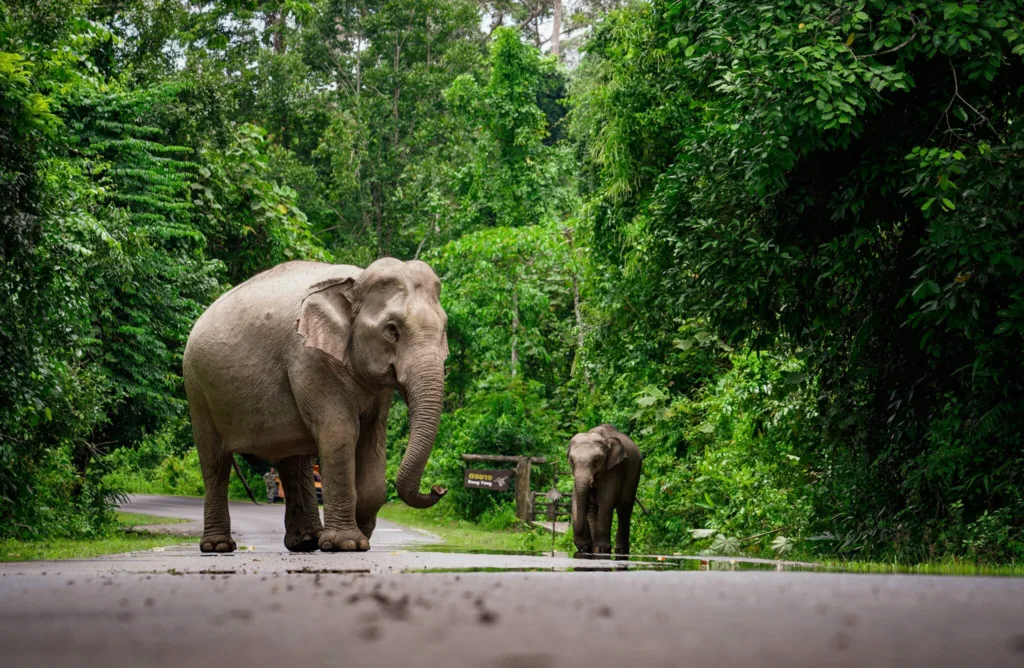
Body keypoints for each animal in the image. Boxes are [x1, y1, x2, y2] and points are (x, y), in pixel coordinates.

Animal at [182, 258, 449, 553]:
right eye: (392, 330)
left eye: (445, 327)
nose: (439, 489)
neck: (354, 284)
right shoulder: (309, 358)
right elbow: (340, 433)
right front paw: (347, 543)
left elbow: (373, 443)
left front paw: (358, 536)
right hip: (197, 386)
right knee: (215, 461)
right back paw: (218, 546)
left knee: (294, 460)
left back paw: (306, 541)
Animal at [567, 424, 643, 559]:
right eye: (571, 461)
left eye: (596, 461)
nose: (581, 547)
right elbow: (576, 497)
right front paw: (584, 548)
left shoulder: (616, 468)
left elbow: (606, 498)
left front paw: (601, 549)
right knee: (593, 510)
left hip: (634, 475)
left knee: (624, 510)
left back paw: (619, 551)